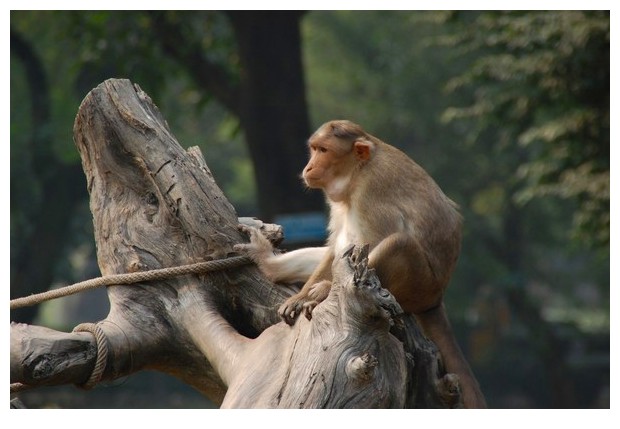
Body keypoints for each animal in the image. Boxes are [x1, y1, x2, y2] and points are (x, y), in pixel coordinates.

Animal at [235, 120, 486, 408]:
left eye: (324, 150)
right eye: (314, 149)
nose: (308, 167)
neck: (357, 172)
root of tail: (436, 298)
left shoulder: (371, 191)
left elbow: (369, 244)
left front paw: (320, 293)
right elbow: (338, 246)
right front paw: (302, 296)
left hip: (420, 285)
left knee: (398, 243)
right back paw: (270, 265)